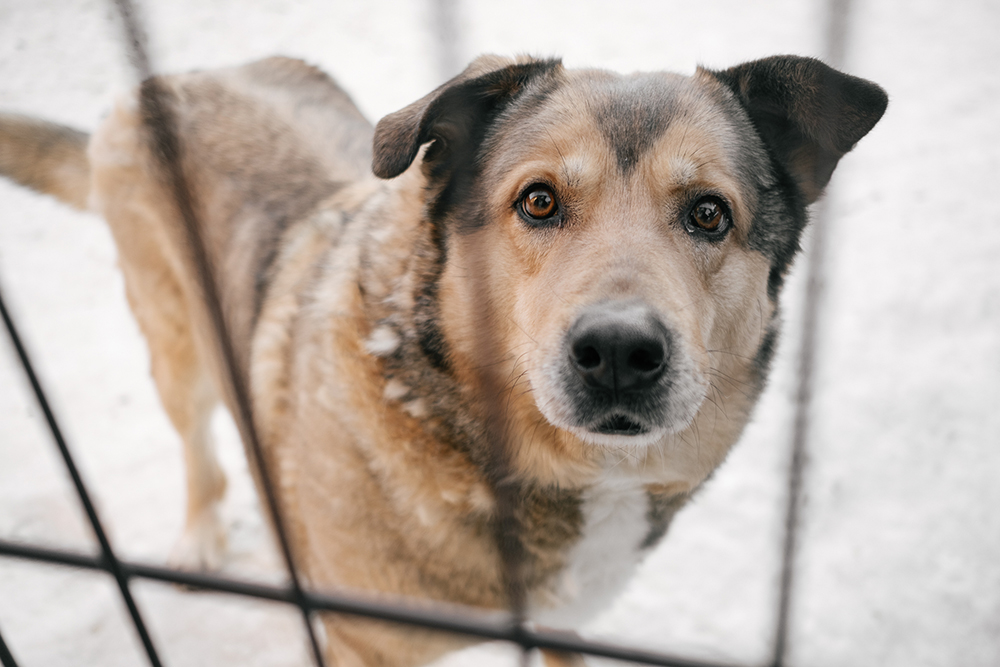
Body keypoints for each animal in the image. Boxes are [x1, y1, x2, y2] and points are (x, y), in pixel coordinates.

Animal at [0, 53, 888, 667]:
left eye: (709, 214)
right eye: (538, 200)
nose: (619, 352)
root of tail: (171, 77)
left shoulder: (561, 624)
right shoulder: (361, 646)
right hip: (173, 345)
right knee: (195, 441)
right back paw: (198, 537)